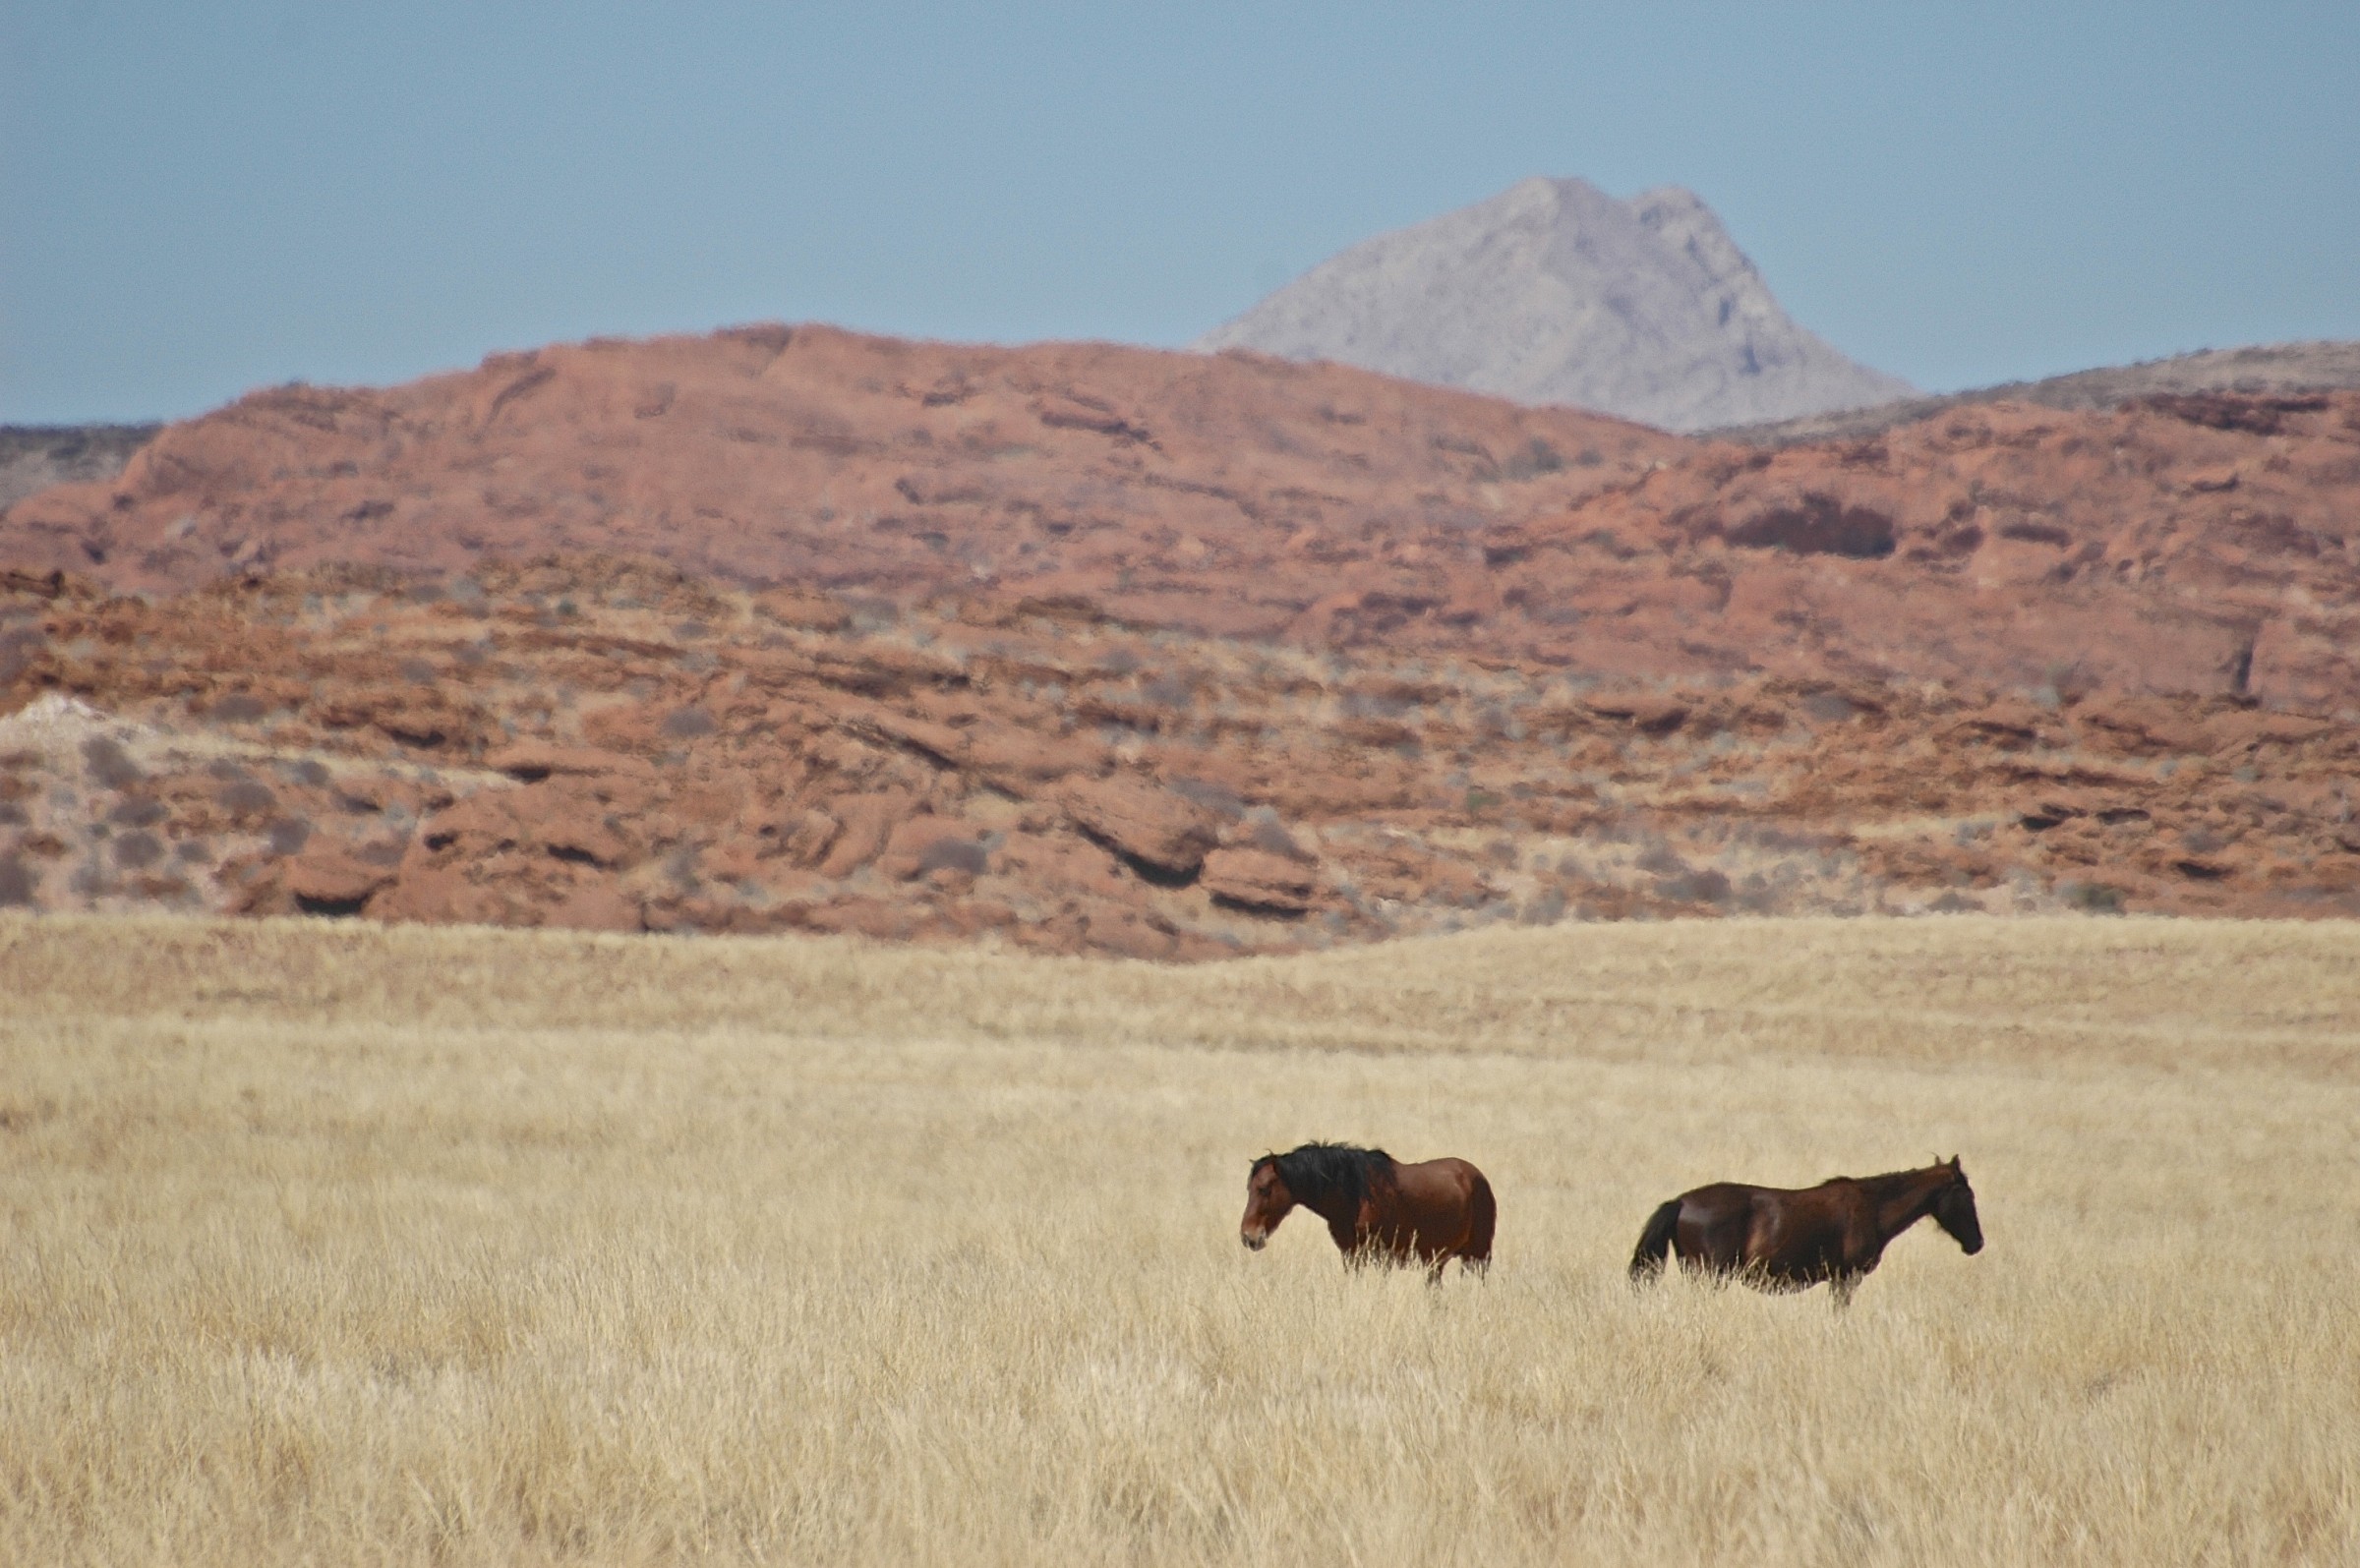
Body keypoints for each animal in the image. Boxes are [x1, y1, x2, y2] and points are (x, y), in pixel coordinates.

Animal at [1240, 1142, 1495, 1278]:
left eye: (1264, 1189)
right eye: (1249, 1188)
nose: (1248, 1237)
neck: (1355, 1195)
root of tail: (1477, 1176)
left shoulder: (1381, 1258)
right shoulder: (1351, 1256)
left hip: (1478, 1256)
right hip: (1436, 1264)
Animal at [1628, 1156, 1982, 1307]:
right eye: (1967, 1195)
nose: (1977, 1243)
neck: (1873, 1206)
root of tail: (1681, 1202)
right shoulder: (1845, 1278)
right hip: (1709, 1277)